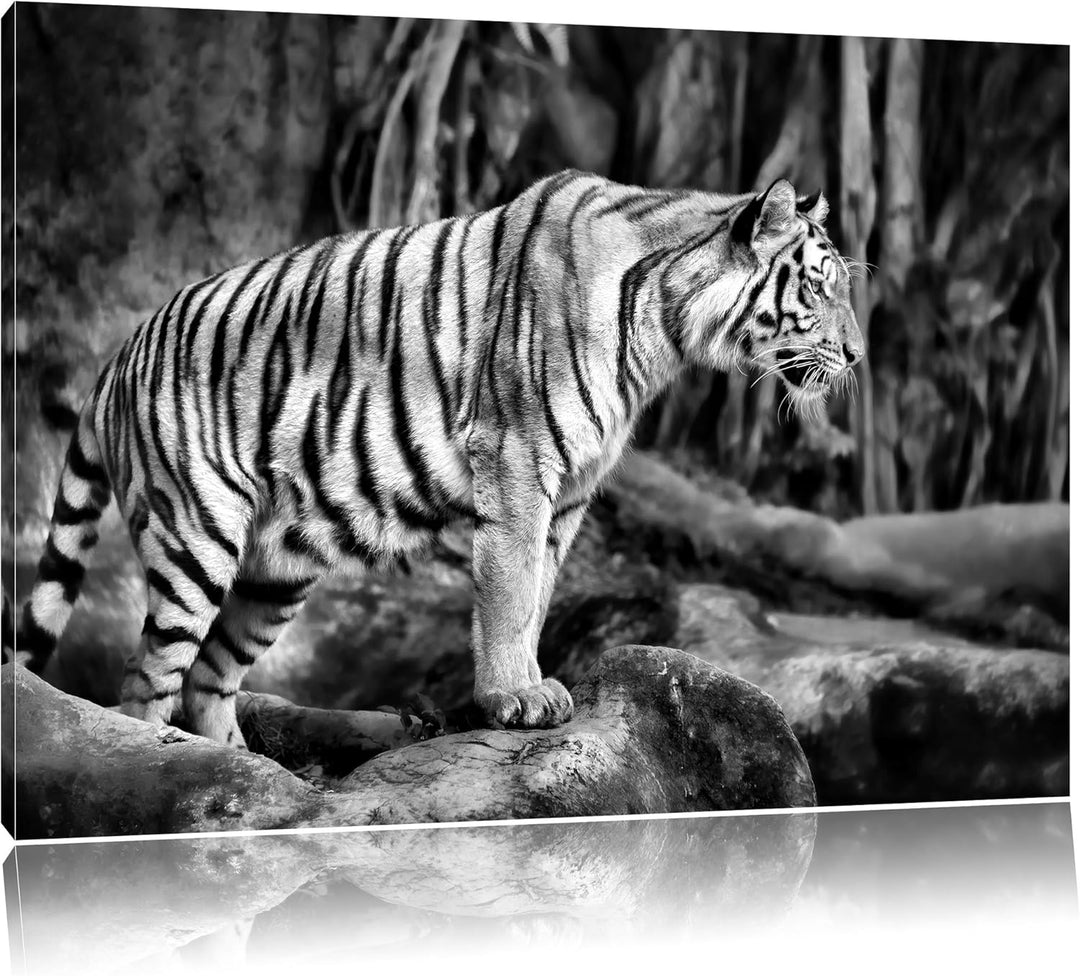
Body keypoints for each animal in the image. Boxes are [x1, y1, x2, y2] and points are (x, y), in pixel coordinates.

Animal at [17, 169, 863, 748]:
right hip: (197, 535)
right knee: (144, 681)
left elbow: (539, 593)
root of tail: (119, 352)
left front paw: (527, 687)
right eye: (821, 288)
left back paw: (239, 767)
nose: (857, 355)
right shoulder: (520, 461)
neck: (664, 323)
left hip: (276, 568)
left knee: (209, 676)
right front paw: (516, 698)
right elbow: (510, 591)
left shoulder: (570, 493)